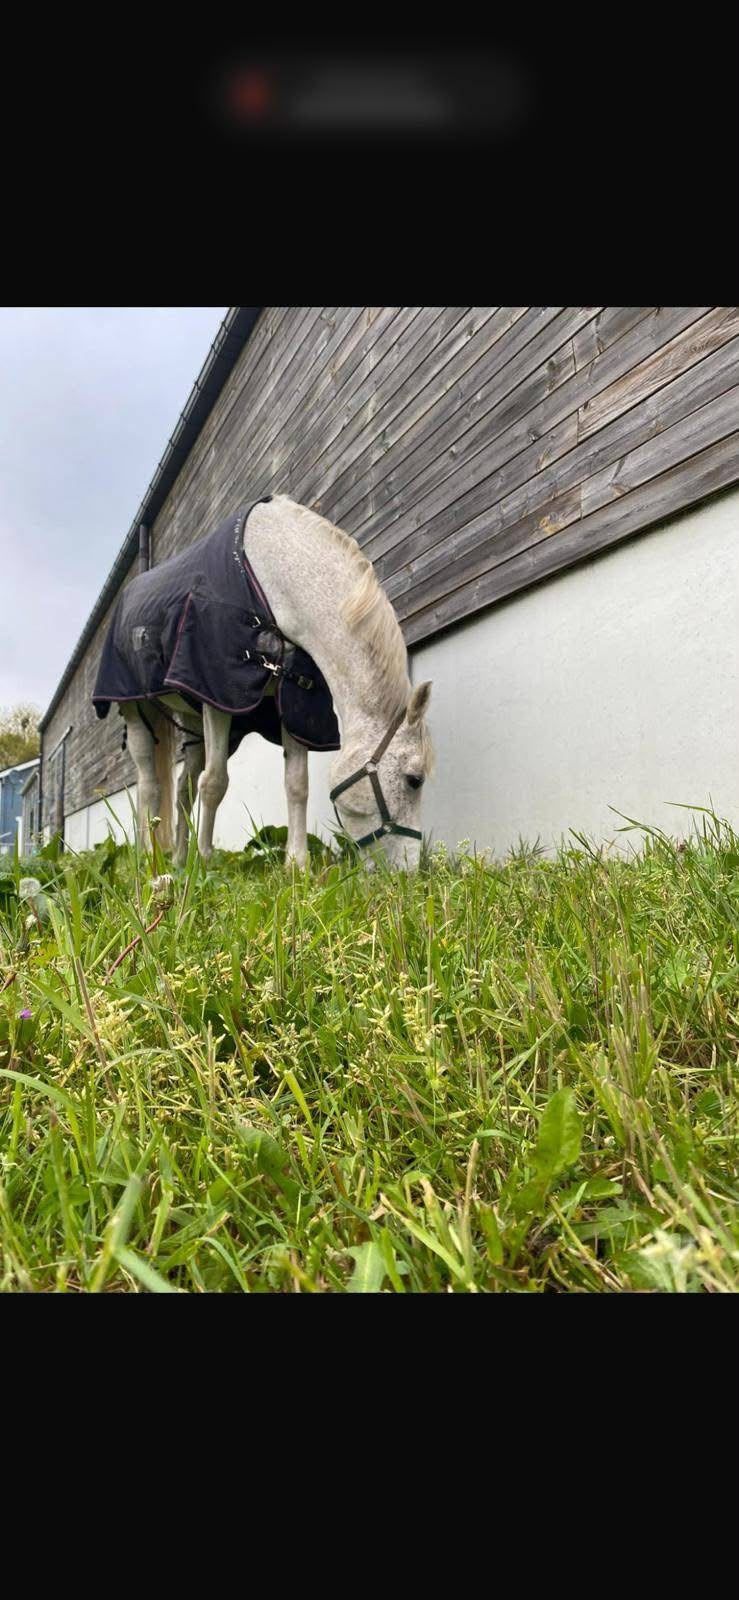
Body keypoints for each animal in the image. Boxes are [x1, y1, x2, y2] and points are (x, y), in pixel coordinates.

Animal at [92, 494, 434, 869]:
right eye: (414, 780)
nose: (408, 872)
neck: (269, 582)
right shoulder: (218, 694)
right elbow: (215, 782)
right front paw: (206, 861)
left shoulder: (295, 700)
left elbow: (296, 783)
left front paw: (296, 865)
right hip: (136, 710)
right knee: (150, 786)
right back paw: (149, 859)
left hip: (191, 720)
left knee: (183, 788)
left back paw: (180, 861)